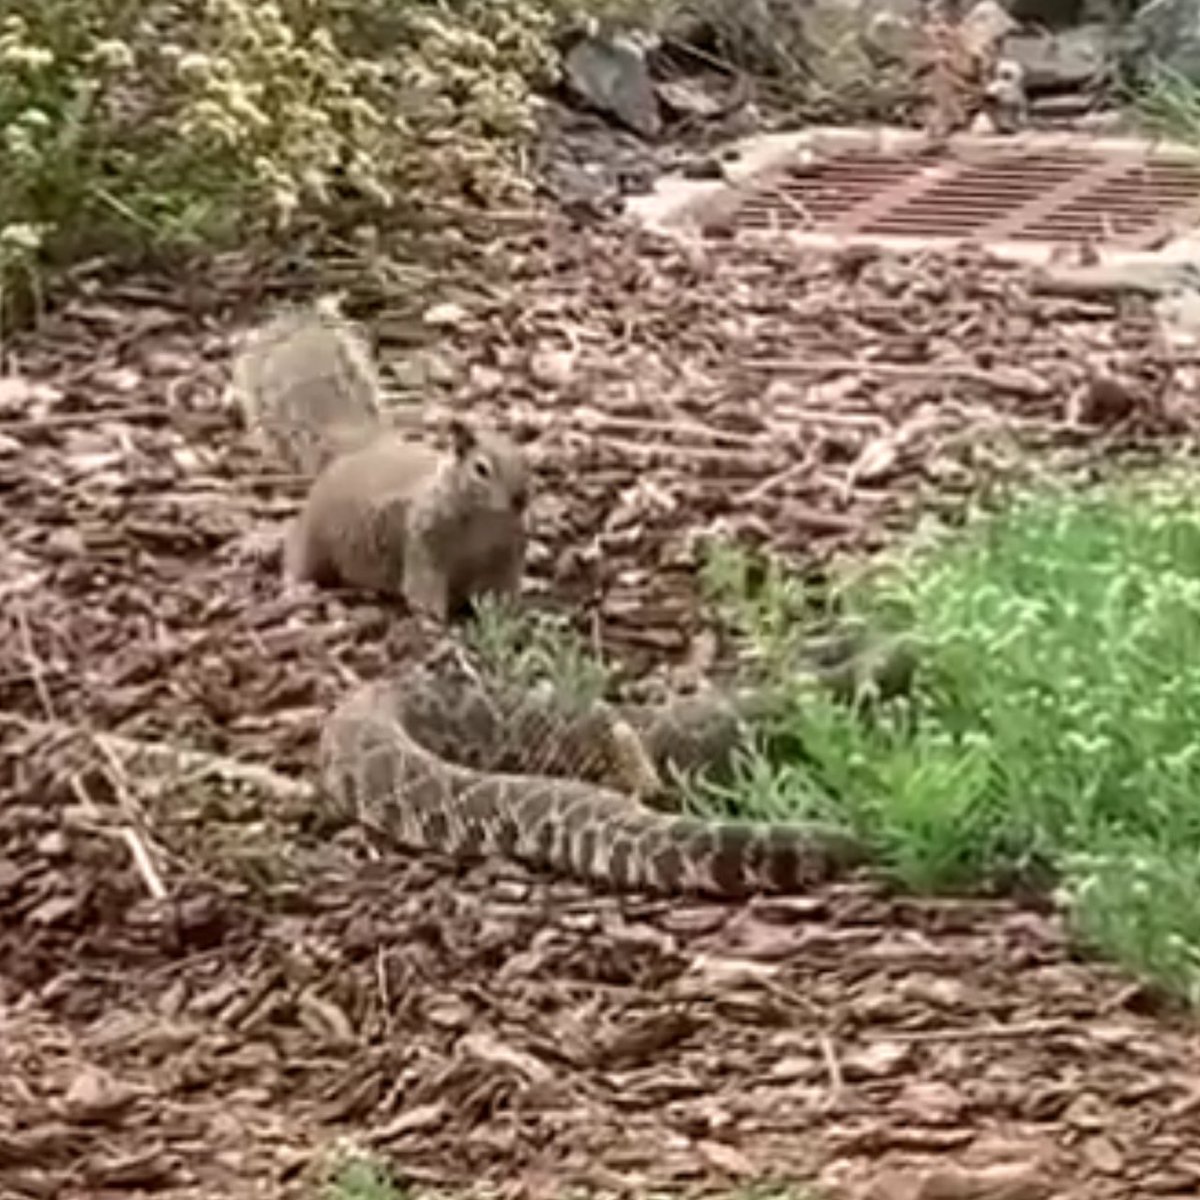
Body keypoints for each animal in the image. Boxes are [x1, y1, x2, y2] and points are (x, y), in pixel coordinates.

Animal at [230, 300, 531, 622]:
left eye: (526, 462)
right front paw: (433, 619)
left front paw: (502, 613)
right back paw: (294, 586)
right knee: (298, 557)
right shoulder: (424, 542)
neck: (484, 518)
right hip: (315, 534)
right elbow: (424, 583)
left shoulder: (504, 556)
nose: (520, 499)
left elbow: (499, 587)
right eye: (481, 469)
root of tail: (356, 451)